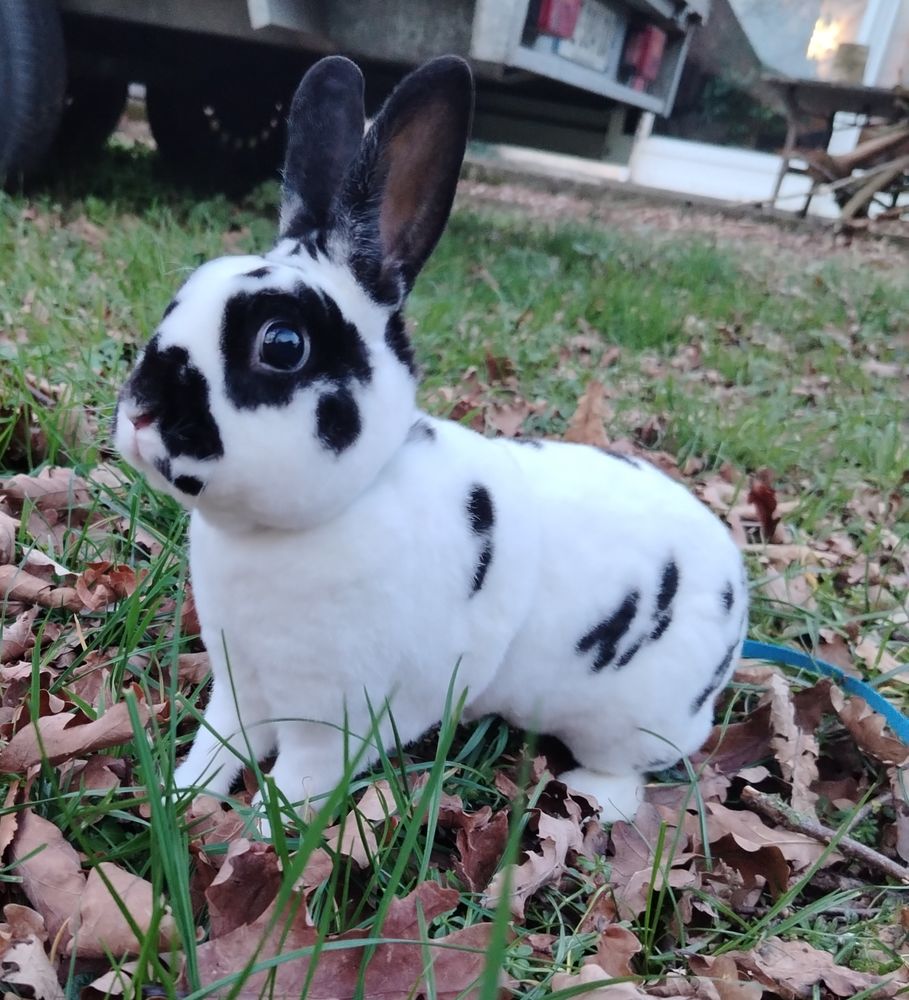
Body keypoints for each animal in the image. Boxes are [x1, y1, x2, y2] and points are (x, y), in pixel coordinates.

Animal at [114, 54, 748, 824]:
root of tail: (734, 584)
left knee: (630, 769)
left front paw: (256, 838)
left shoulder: (331, 723)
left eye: (282, 344)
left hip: (626, 719)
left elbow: (292, 786)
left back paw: (594, 796)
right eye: (178, 301)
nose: (140, 411)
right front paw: (181, 799)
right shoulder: (241, 687)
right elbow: (217, 747)